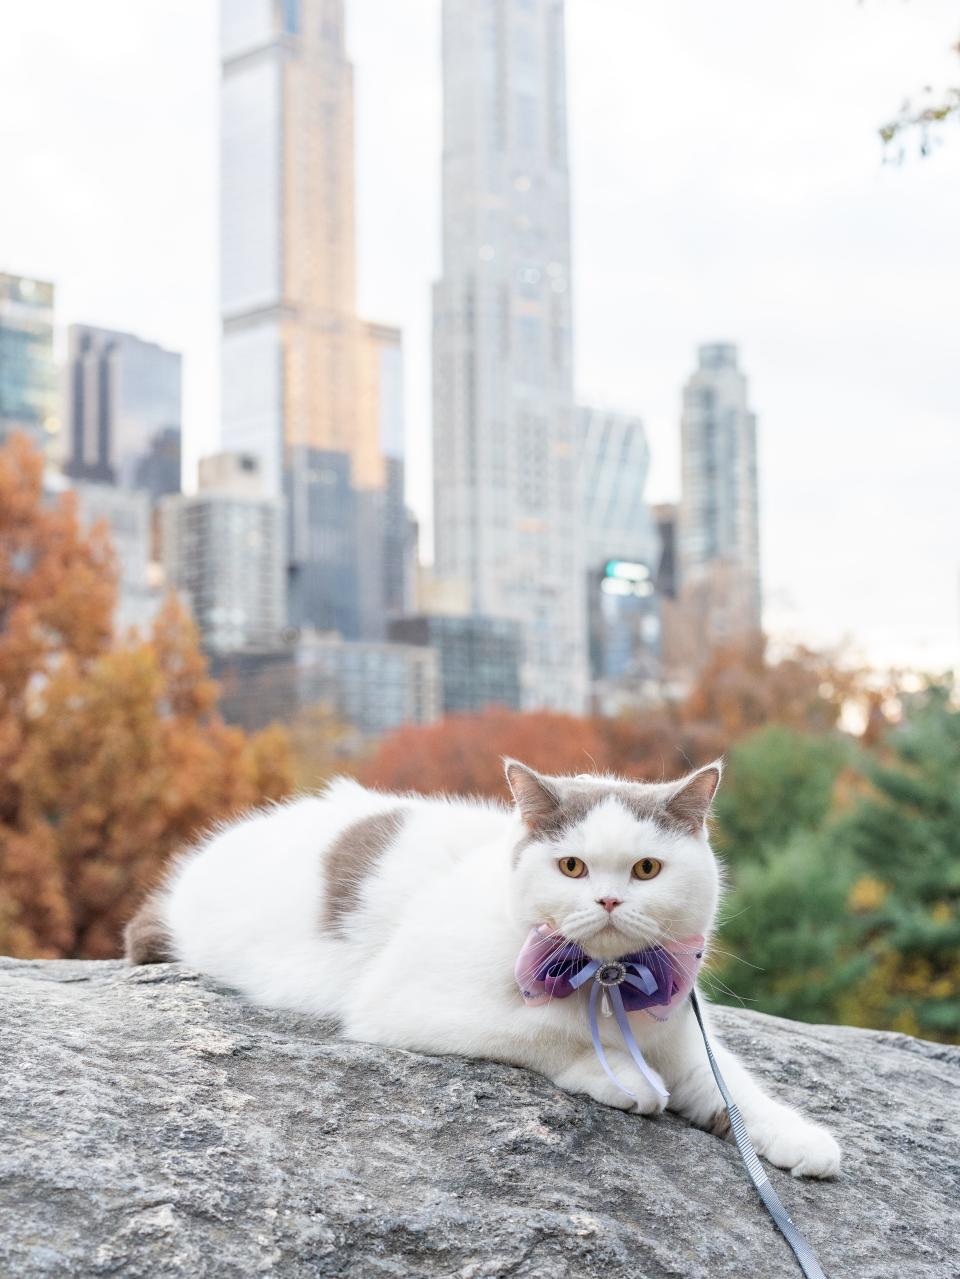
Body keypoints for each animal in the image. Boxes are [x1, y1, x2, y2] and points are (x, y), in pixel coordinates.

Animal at [125, 757, 838, 1176]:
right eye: (571, 866)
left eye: (646, 869)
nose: (609, 900)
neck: (606, 986)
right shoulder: (406, 1003)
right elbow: (543, 1032)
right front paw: (621, 1075)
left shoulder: (681, 1030)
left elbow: (734, 1091)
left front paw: (797, 1137)